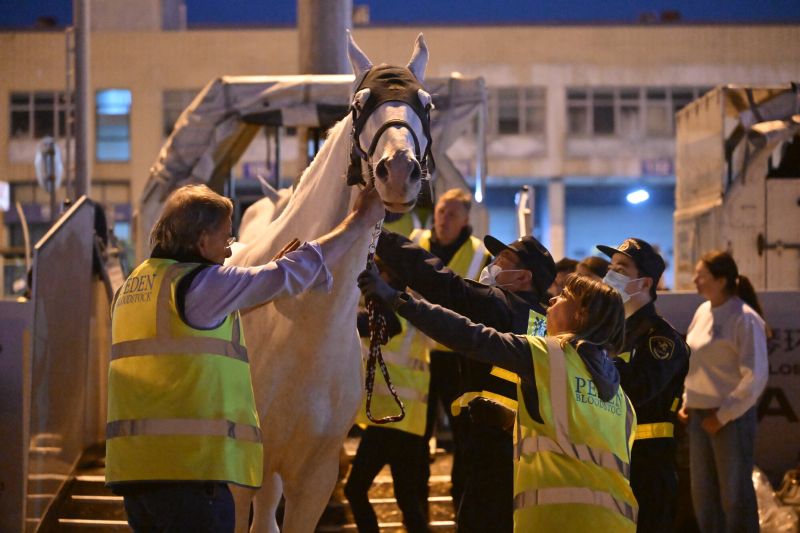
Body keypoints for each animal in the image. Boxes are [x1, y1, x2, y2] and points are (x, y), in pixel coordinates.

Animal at [229, 32, 433, 532]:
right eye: (360, 103)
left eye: (427, 103)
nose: (399, 171)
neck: (301, 319)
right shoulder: (240, 472)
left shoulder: (315, 477)